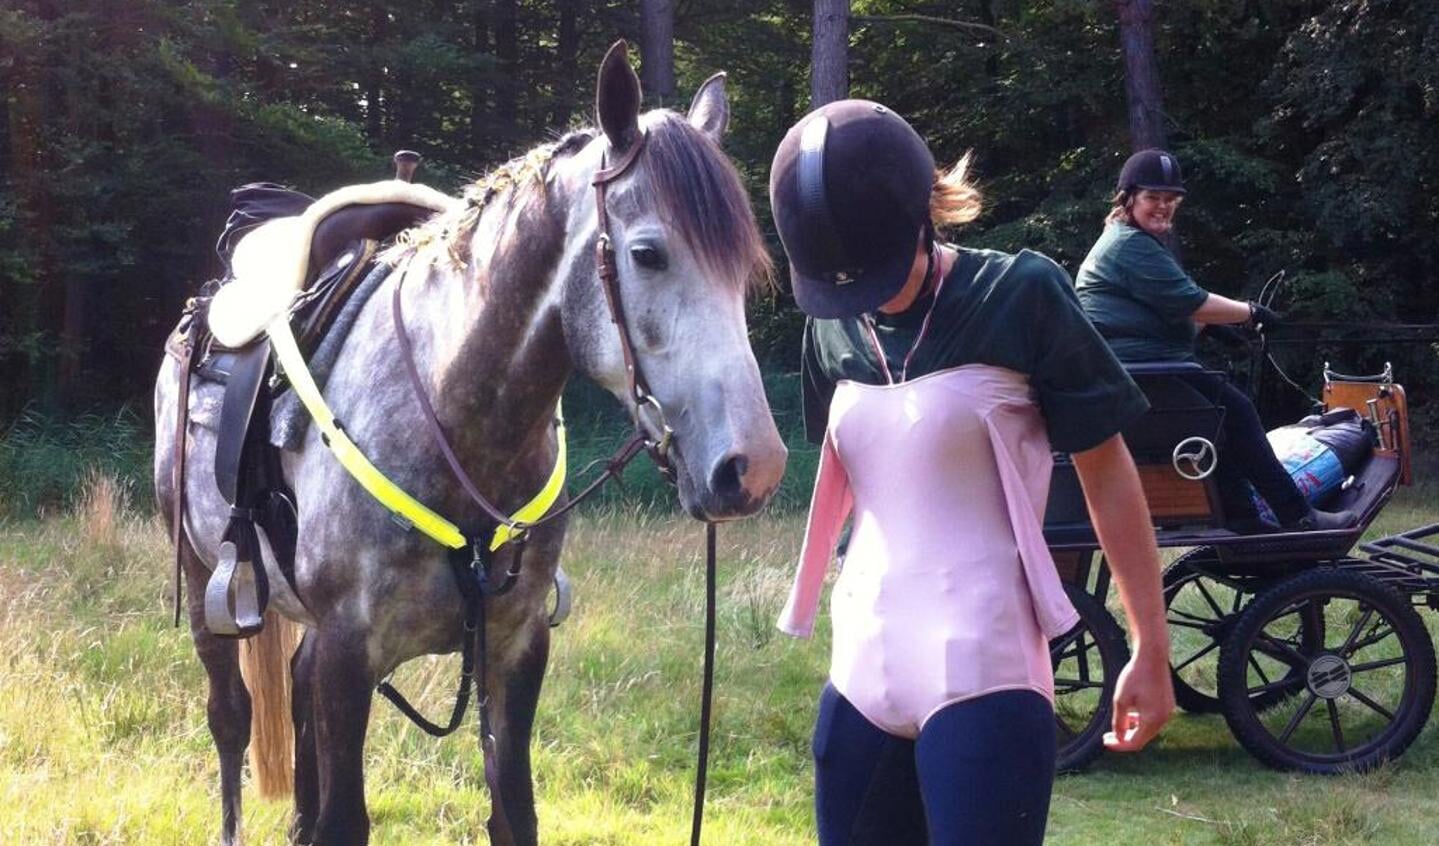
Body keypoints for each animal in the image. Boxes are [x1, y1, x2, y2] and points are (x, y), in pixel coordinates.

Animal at [153, 47, 788, 846]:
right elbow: (343, 818)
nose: (750, 468)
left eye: (746, 266)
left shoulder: (513, 646)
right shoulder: (348, 653)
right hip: (203, 572)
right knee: (231, 719)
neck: (452, 419)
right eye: (647, 254)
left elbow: (512, 813)